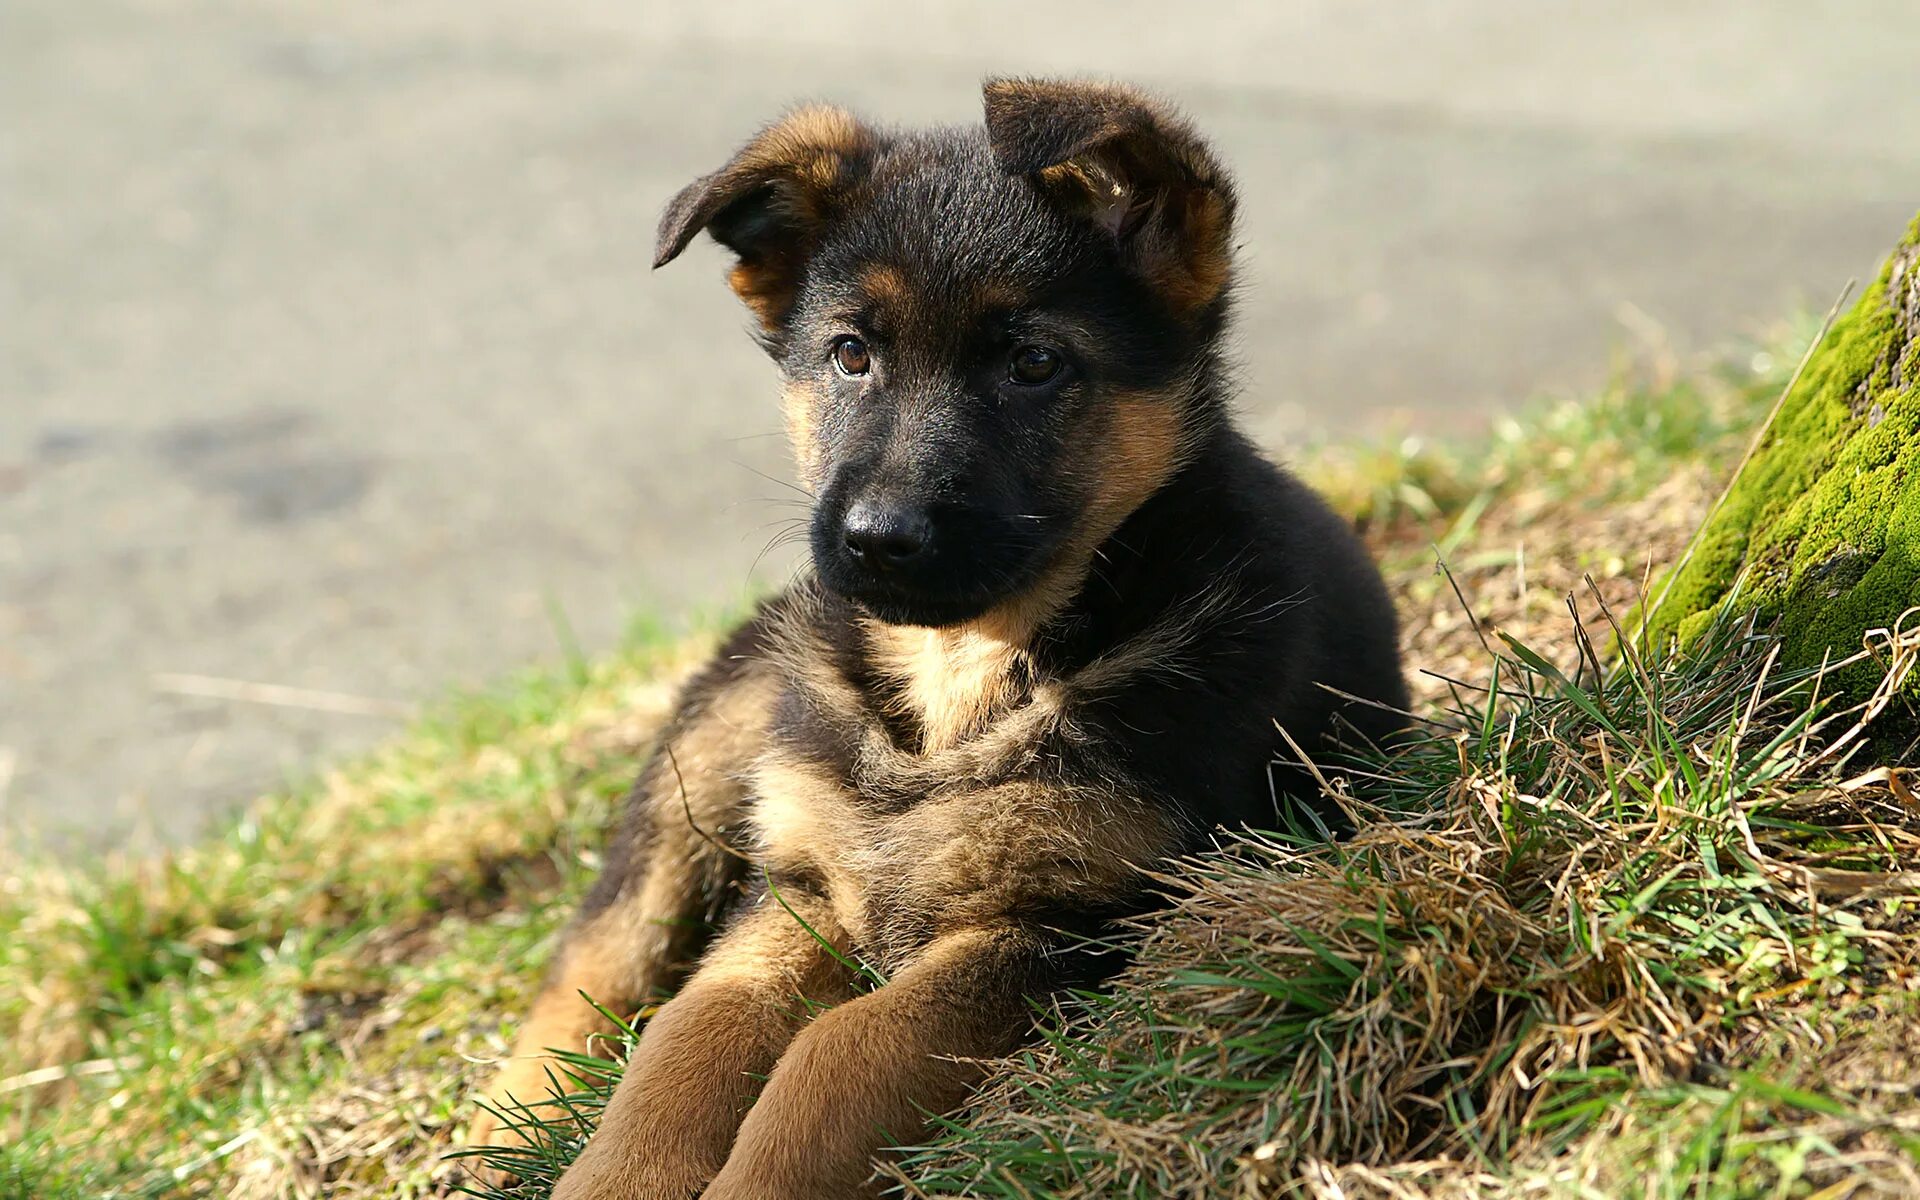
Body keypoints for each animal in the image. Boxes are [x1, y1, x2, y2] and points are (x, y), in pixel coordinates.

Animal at [470, 77, 1405, 1198]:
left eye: (1034, 363)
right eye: (849, 355)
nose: (875, 540)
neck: (961, 674)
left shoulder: (1067, 920)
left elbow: (840, 1050)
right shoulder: (797, 886)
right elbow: (691, 1031)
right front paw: (617, 1169)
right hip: (721, 734)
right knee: (607, 942)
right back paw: (511, 1110)